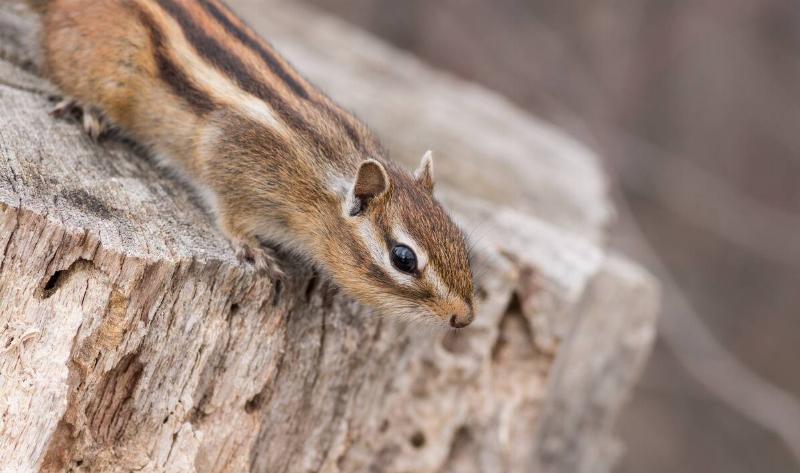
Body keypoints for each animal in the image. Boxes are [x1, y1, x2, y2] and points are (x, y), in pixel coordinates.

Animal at [29, 0, 476, 328]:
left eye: (460, 238)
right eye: (404, 258)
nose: (464, 317)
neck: (324, 177)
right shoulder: (234, 159)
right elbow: (229, 212)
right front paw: (251, 247)